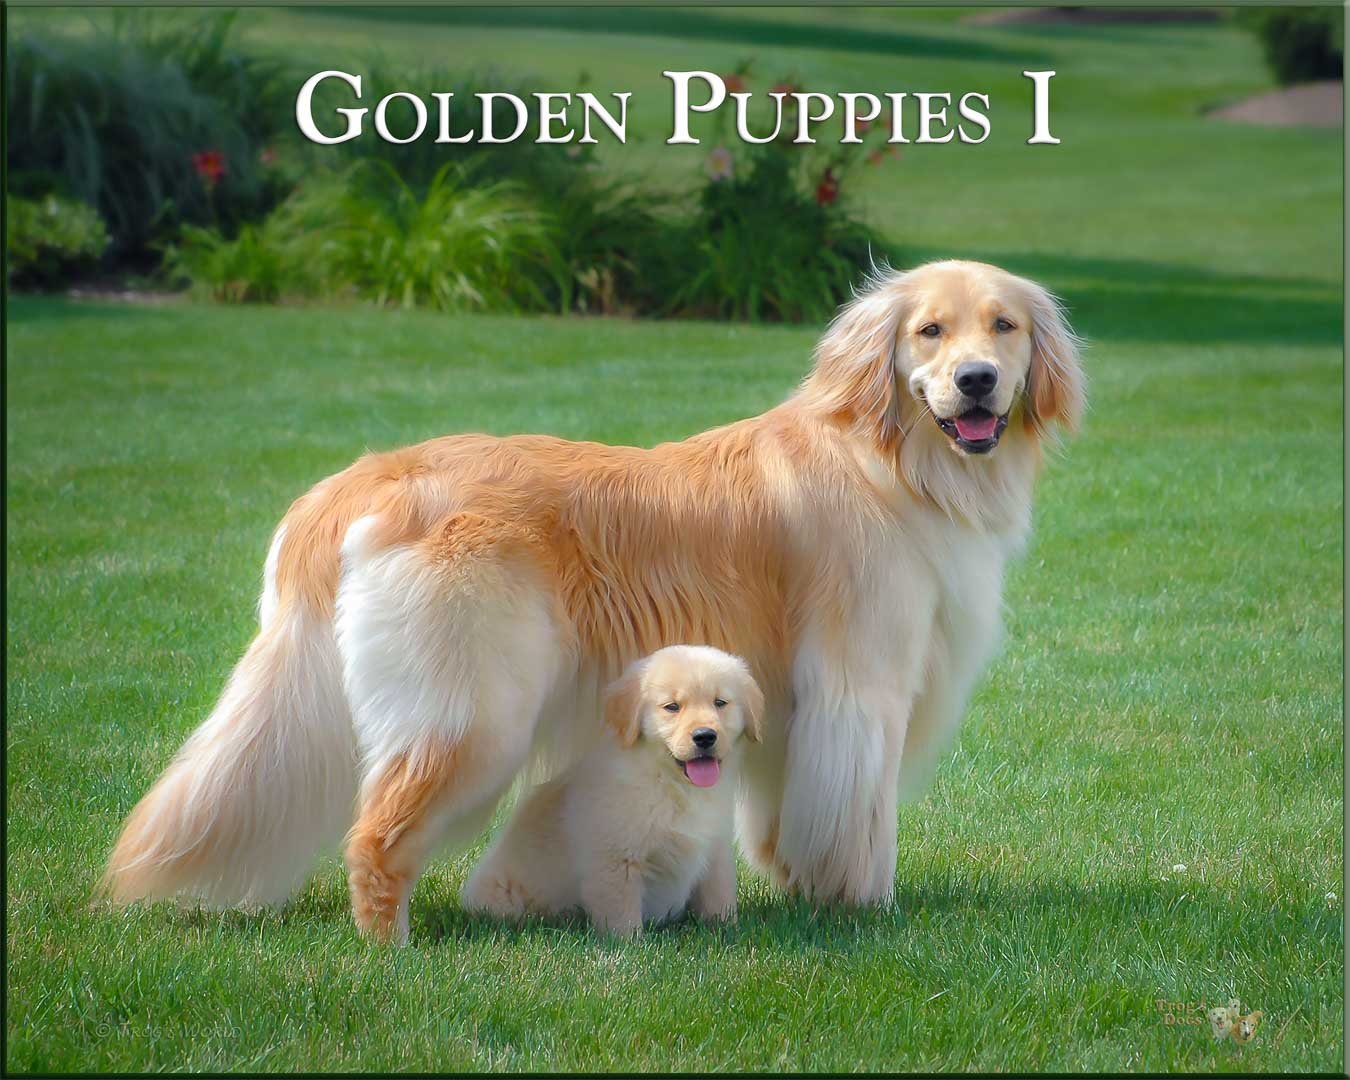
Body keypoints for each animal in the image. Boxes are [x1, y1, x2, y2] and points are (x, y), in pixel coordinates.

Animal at [461, 645, 761, 939]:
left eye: (720, 703)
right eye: (672, 707)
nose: (705, 736)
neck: (671, 784)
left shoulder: (715, 849)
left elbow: (718, 896)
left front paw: (726, 929)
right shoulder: (617, 857)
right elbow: (621, 912)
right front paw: (630, 944)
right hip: (503, 896)